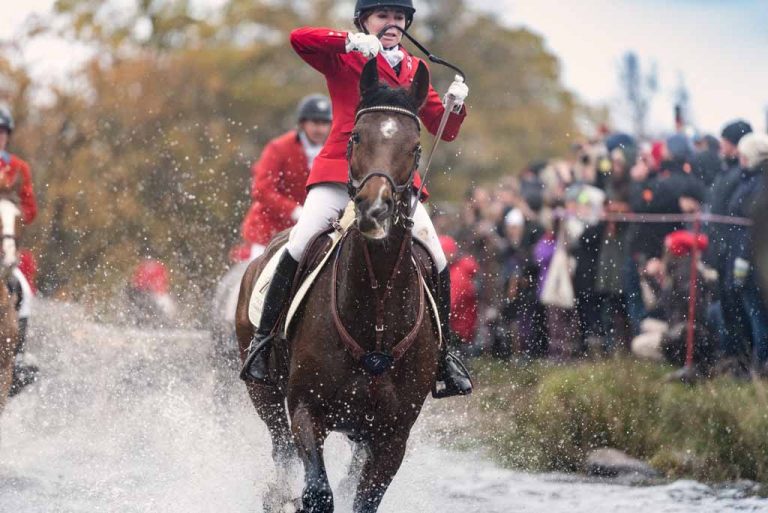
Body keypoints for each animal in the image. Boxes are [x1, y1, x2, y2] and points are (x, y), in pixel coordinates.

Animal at [236, 60, 438, 512]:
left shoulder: (392, 436)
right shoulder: (305, 410)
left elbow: (362, 500)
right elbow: (317, 493)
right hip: (266, 397)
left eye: (415, 145)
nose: (375, 208)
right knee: (281, 455)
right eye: (357, 135)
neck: (376, 307)